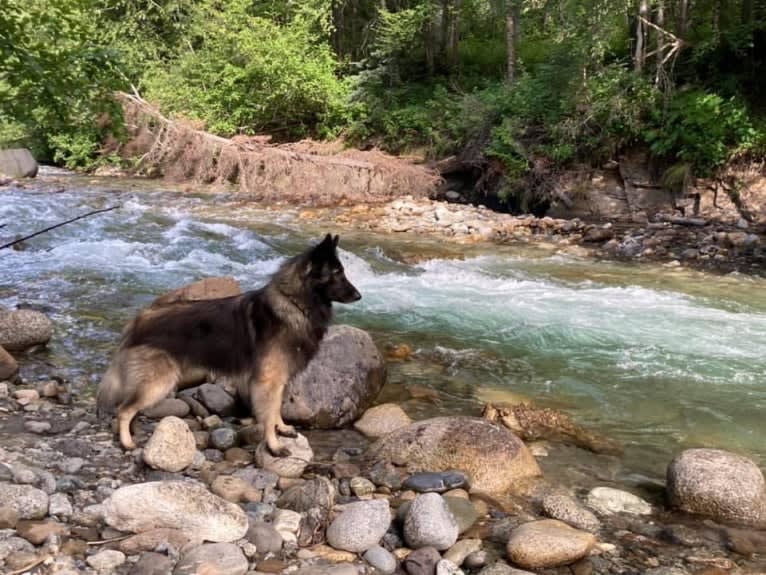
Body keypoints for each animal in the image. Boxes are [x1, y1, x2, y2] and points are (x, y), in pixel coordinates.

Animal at [96, 233, 360, 454]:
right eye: (337, 274)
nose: (359, 296)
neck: (293, 303)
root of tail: (138, 321)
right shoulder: (267, 381)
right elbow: (268, 413)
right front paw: (274, 446)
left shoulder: (279, 379)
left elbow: (275, 410)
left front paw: (282, 428)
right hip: (158, 384)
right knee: (123, 410)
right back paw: (127, 442)